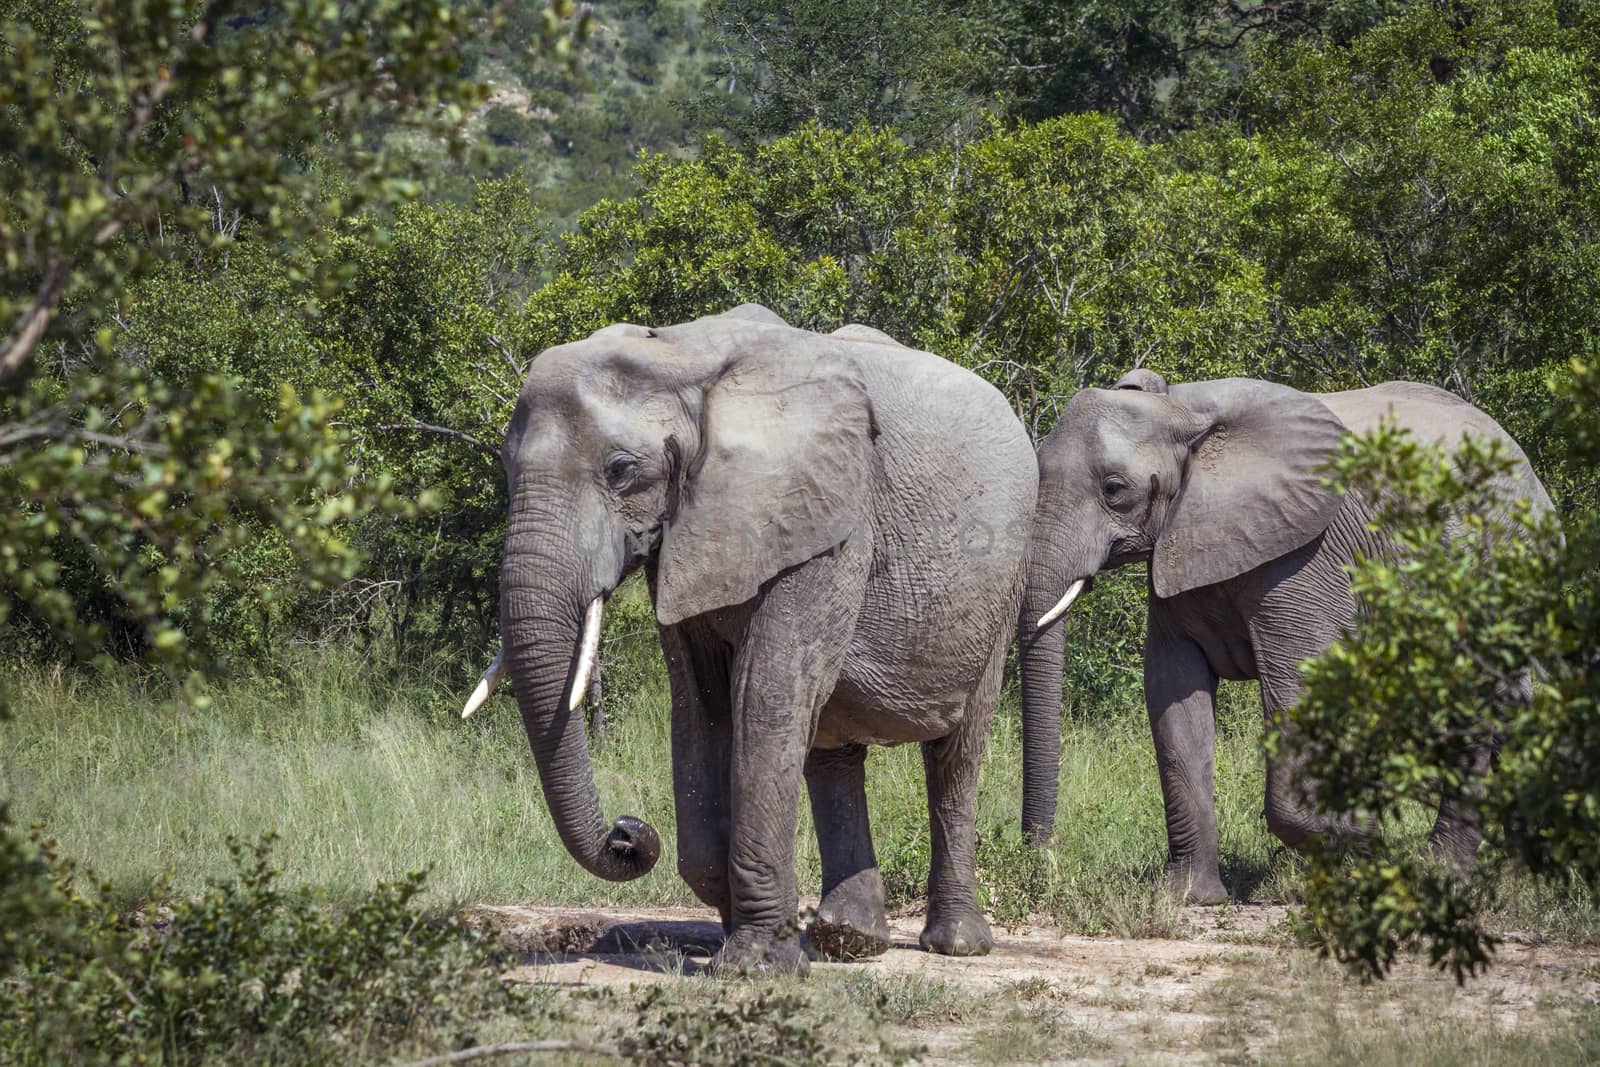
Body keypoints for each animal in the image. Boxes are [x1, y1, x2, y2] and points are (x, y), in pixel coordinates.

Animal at [464, 303, 1036, 972]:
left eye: (622, 472)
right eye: (505, 468)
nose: (628, 832)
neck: (683, 355)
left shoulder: (829, 523)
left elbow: (764, 697)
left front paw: (755, 965)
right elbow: (700, 705)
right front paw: (745, 930)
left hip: (1004, 580)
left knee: (954, 756)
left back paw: (955, 945)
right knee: (831, 746)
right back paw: (849, 942)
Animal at [1017, 371, 1555, 908]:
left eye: (1115, 490)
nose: (1042, 859)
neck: (1185, 413)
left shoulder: (1303, 556)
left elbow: (1297, 683)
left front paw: (1365, 840)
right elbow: (1173, 693)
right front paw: (1191, 898)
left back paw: (1444, 875)